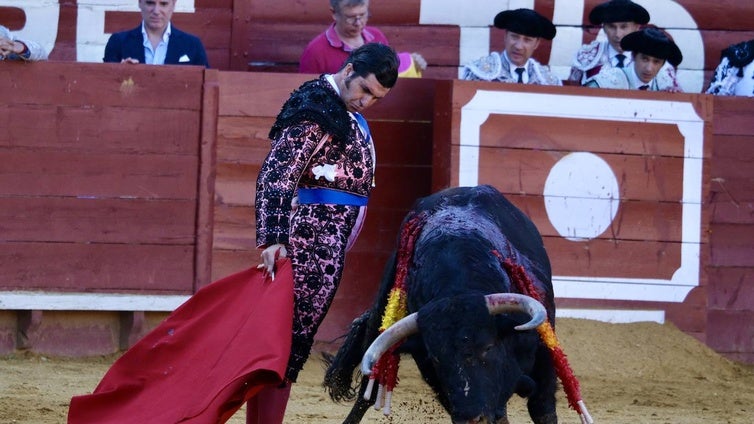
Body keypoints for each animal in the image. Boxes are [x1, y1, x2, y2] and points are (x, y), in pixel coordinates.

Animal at [322, 186, 560, 424]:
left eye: (488, 347)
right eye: (436, 359)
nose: (471, 417)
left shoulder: (544, 349)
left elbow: (543, 409)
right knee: (366, 393)